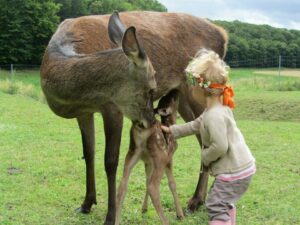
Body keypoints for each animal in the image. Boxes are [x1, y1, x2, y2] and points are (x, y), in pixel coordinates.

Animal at [39, 11, 227, 225]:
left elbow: (111, 161)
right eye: (151, 89)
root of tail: (223, 34)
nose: (151, 122)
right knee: (202, 139)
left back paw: (197, 200)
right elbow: (88, 154)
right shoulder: (84, 112)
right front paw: (86, 203)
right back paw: (201, 198)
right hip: (183, 98)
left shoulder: (112, 107)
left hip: (198, 90)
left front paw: (110, 216)